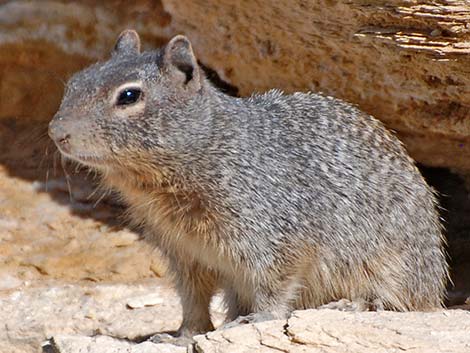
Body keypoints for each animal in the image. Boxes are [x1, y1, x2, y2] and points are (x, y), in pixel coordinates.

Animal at [48, 30, 448, 344]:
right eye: (75, 81)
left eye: (129, 96)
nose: (56, 131)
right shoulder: (183, 252)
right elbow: (193, 298)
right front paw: (182, 335)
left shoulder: (275, 234)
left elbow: (274, 284)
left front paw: (258, 319)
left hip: (395, 266)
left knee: (404, 302)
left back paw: (355, 302)